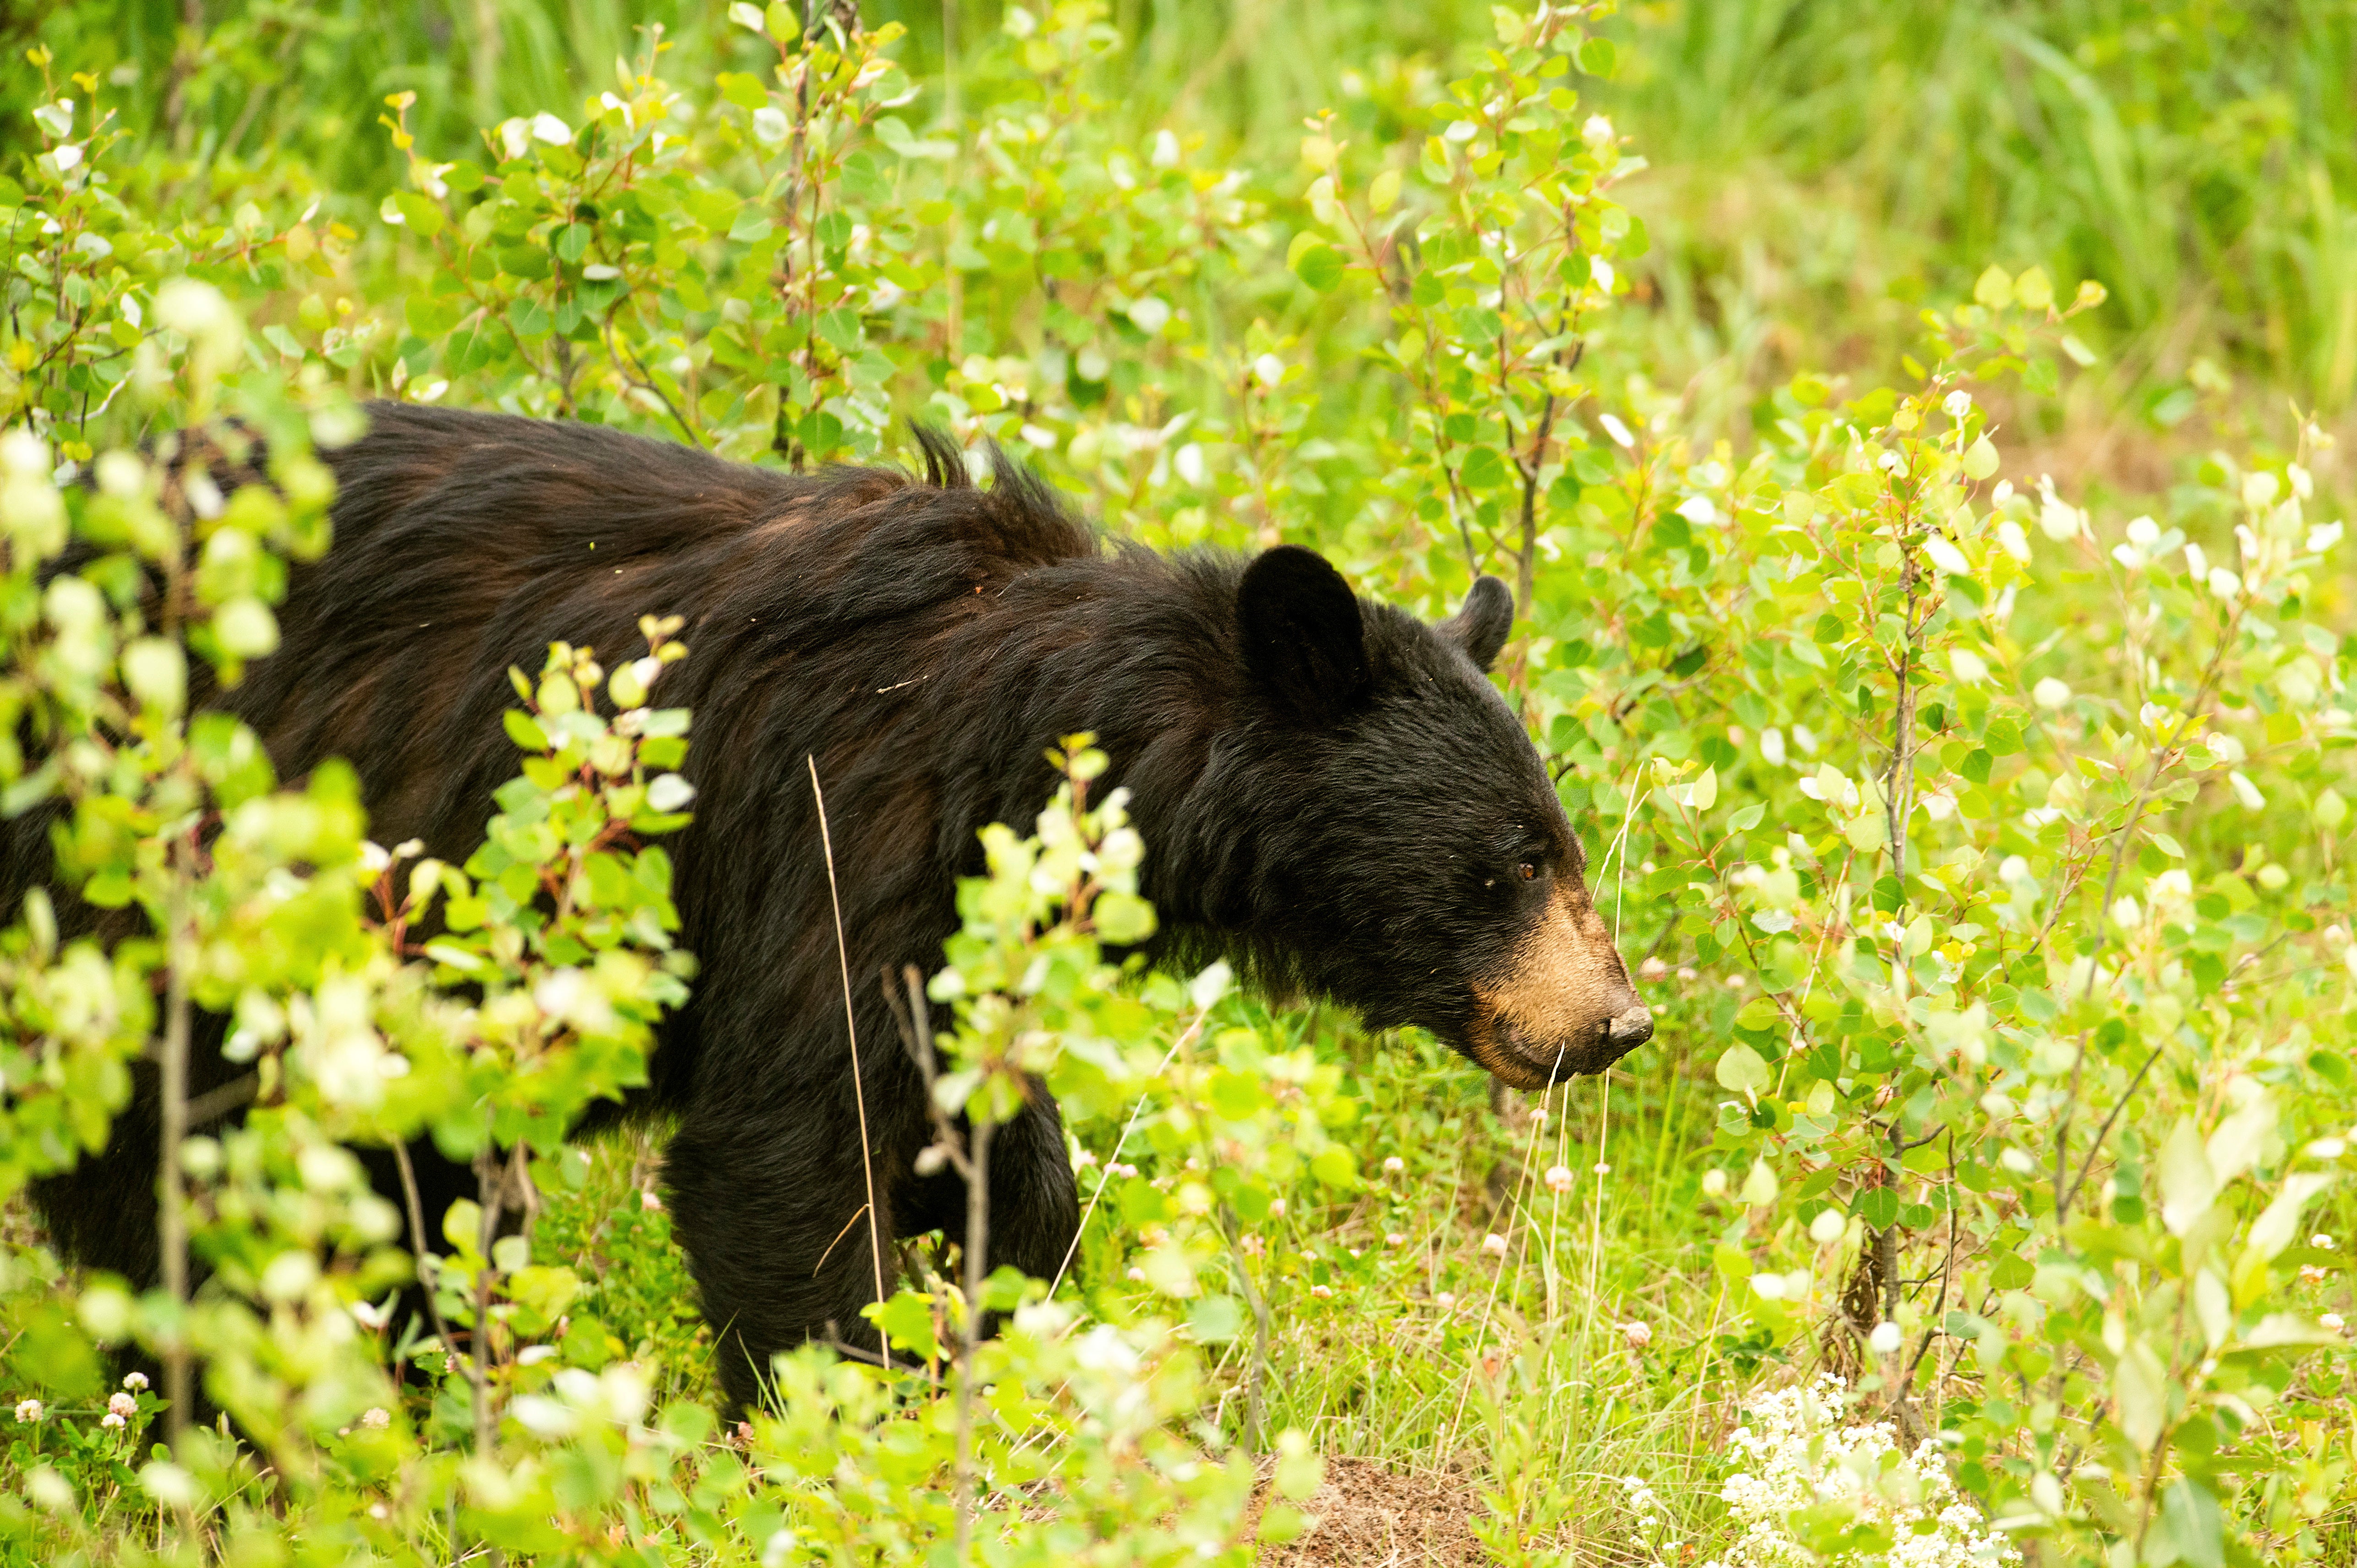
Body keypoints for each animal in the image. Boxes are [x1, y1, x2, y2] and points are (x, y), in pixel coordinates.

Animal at [18, 403, 1650, 1405]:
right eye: (1512, 859)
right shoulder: (827, 828)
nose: (1616, 1023)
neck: (1031, 737)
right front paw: (847, 1415)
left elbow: (980, 1127)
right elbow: (788, 1150)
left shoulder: (951, 919)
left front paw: (1016, 1296)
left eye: (1559, 847)